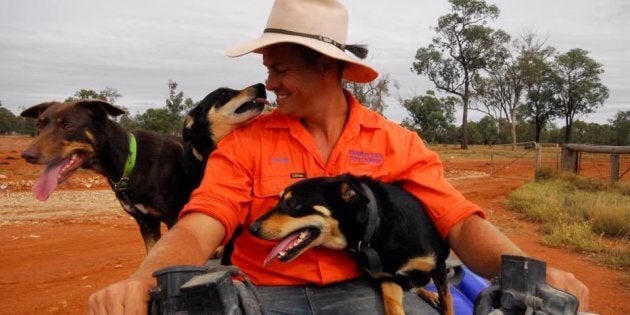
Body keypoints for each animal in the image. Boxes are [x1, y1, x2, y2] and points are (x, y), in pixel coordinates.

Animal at [21, 82, 268, 253]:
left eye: (68, 125)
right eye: (39, 125)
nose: (261, 86)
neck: (130, 161)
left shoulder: (175, 217)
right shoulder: (146, 222)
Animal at [248, 175, 454, 315]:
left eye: (293, 204)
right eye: (279, 200)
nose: (252, 228)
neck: (374, 227)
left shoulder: (438, 266)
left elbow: (448, 301)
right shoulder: (387, 279)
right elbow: (392, 306)